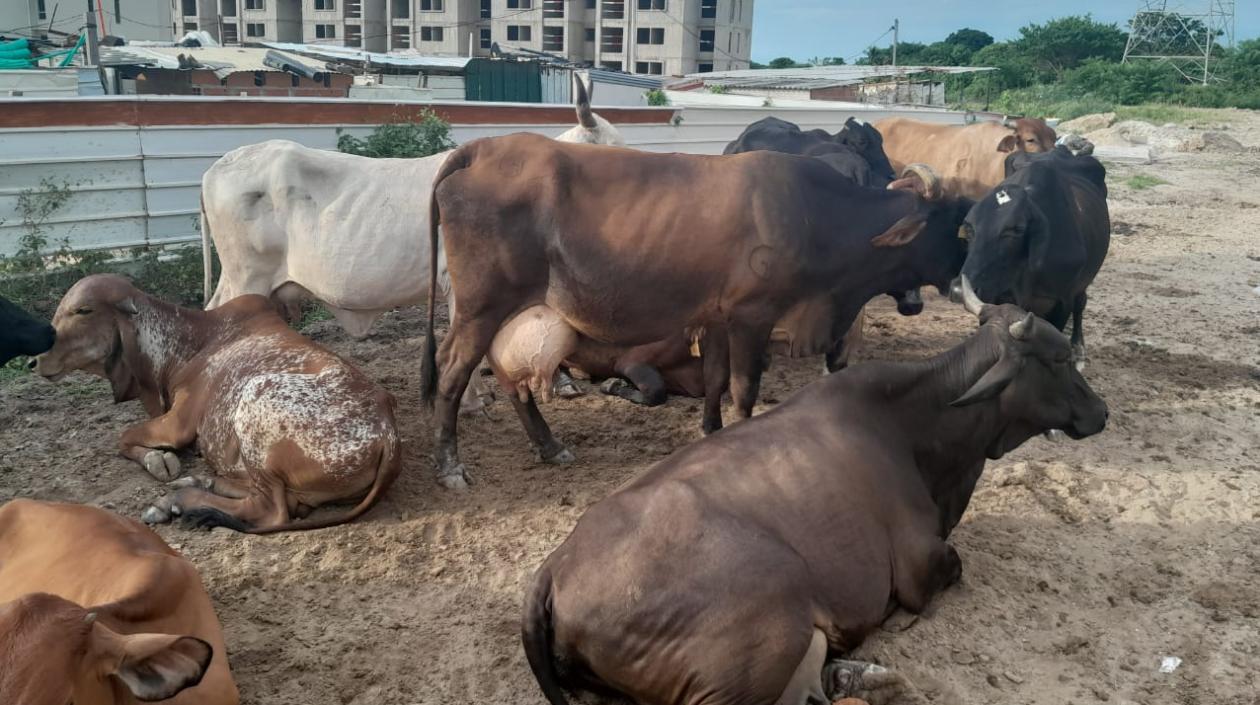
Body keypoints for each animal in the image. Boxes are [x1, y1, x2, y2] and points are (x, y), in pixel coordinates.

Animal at [32, 275, 401, 533]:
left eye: (83, 310)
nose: (35, 360)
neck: (189, 342)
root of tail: (388, 435)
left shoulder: (177, 423)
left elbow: (124, 437)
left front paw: (159, 461)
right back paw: (196, 484)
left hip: (254, 396)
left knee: (271, 510)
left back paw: (177, 501)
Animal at [420, 134, 971, 488]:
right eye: (957, 227)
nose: (966, 274)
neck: (820, 217)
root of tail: (479, 148)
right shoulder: (752, 315)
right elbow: (743, 389)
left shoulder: (717, 318)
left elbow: (714, 379)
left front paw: (709, 433)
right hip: (480, 306)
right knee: (451, 372)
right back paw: (450, 467)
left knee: (509, 379)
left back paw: (549, 446)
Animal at [520, 299, 1108, 705]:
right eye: (1059, 358)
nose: (1101, 411)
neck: (914, 427)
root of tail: (554, 568)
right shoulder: (919, 562)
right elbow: (948, 573)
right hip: (763, 631)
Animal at [955, 146, 1111, 369]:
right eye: (969, 227)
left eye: (1015, 229)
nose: (958, 290)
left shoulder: (1062, 302)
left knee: (1081, 302)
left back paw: (1078, 350)